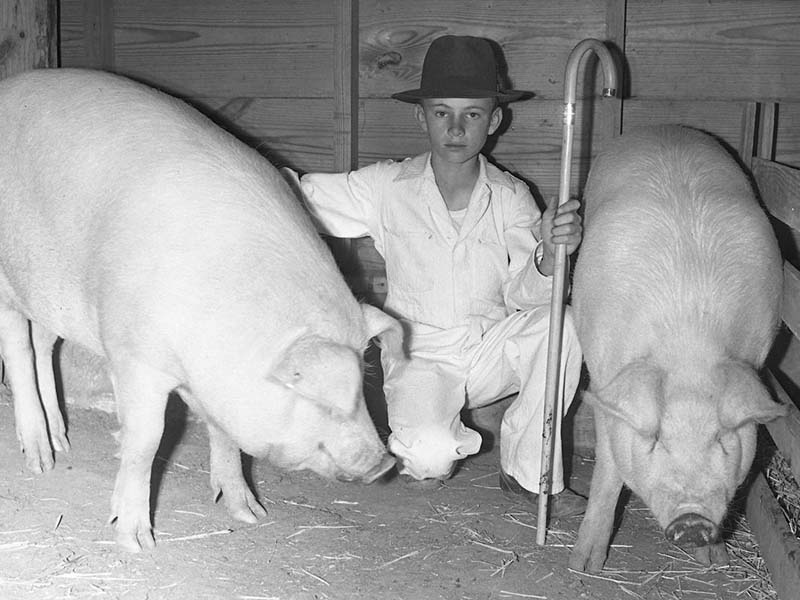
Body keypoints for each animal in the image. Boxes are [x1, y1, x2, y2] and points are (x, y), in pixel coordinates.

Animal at [0, 68, 404, 552]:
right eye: (307, 389)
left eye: (364, 383)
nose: (383, 464)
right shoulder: (136, 356)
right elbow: (145, 441)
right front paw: (136, 541)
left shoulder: (209, 380)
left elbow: (225, 436)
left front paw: (250, 513)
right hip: (6, 278)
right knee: (18, 350)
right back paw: (40, 461)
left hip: (47, 292)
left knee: (44, 346)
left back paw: (62, 444)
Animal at [572, 125, 784, 572]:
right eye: (656, 440)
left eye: (722, 438)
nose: (691, 521)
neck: (689, 340)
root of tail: (663, 128)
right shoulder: (602, 372)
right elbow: (609, 465)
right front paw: (584, 565)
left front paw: (715, 560)